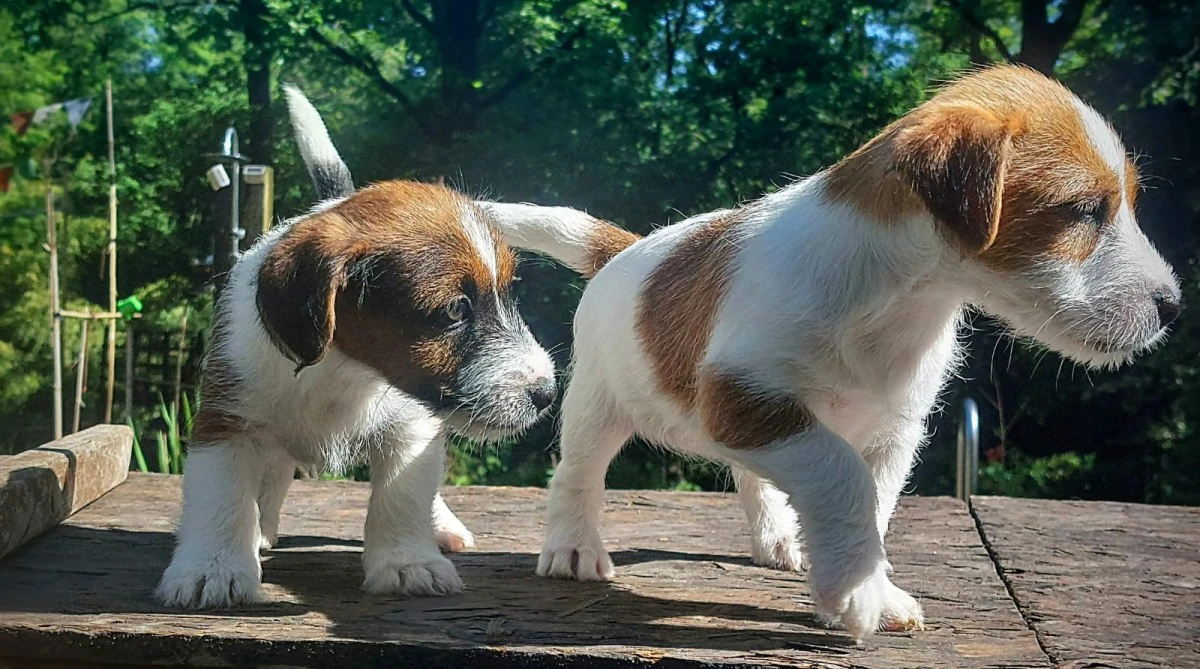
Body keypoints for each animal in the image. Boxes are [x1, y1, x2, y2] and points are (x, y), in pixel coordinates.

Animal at [153, 88, 556, 609]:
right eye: (454, 310)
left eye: (508, 295)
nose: (547, 393)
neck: (344, 369)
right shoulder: (226, 419)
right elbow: (221, 496)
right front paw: (213, 568)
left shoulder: (412, 430)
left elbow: (402, 496)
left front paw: (407, 562)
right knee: (272, 474)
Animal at [477, 66, 1180, 647]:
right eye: (1084, 210)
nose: (1172, 307)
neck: (899, 299)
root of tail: (623, 249)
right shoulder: (747, 396)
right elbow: (842, 479)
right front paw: (857, 593)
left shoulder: (887, 431)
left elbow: (872, 502)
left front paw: (861, 584)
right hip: (598, 402)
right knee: (577, 473)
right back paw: (573, 547)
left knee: (750, 477)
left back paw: (777, 537)